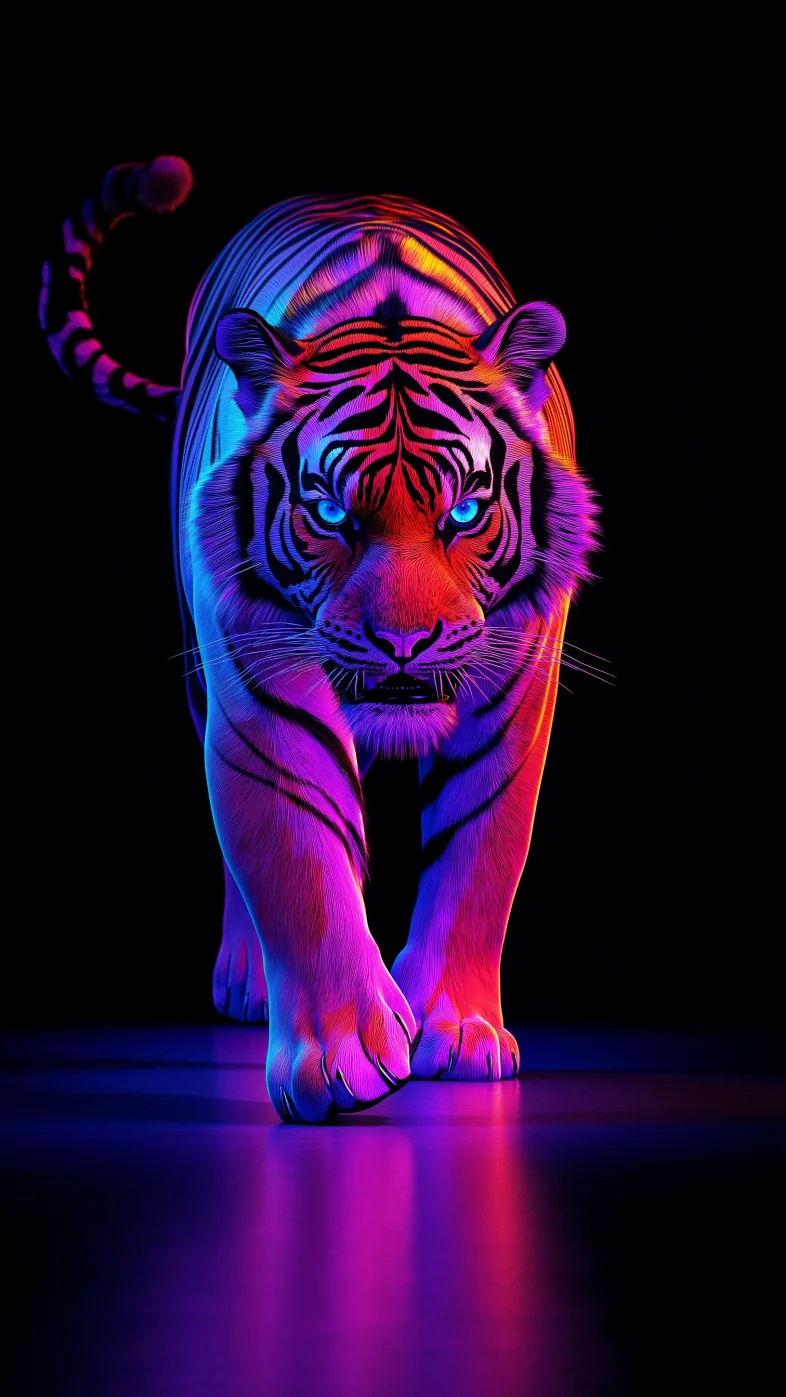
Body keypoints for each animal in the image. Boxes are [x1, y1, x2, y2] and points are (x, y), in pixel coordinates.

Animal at [41, 156, 598, 1123]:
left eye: (464, 511)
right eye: (332, 511)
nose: (404, 644)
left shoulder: (517, 686)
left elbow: (483, 851)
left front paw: (458, 1029)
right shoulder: (258, 682)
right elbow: (297, 850)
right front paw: (341, 1055)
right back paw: (248, 980)